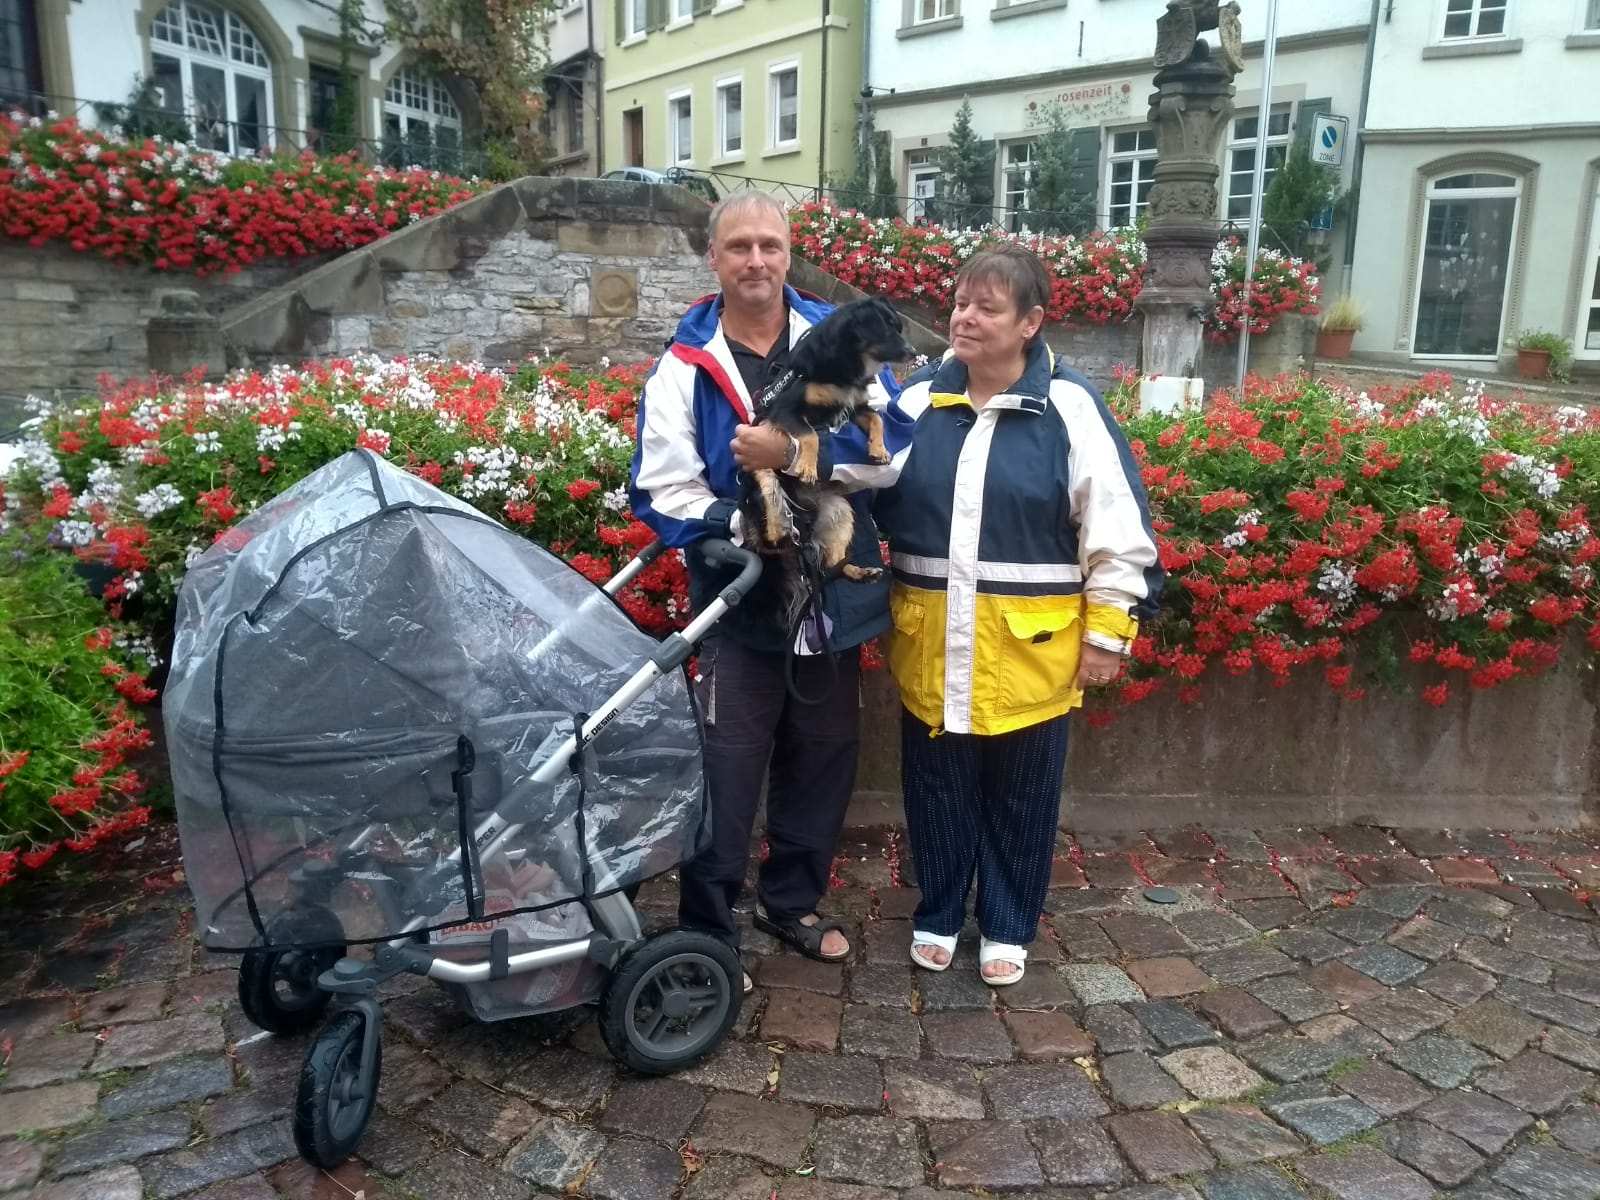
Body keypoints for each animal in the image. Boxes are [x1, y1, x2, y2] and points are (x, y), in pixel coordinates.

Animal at [739, 297, 916, 638]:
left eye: (898, 327)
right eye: (886, 329)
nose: (913, 352)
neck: (847, 368)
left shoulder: (857, 406)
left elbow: (877, 418)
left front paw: (880, 451)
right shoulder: (786, 410)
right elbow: (810, 434)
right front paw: (807, 466)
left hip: (840, 512)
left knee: (832, 564)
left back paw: (861, 571)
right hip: (762, 481)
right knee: (771, 532)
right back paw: (782, 529)